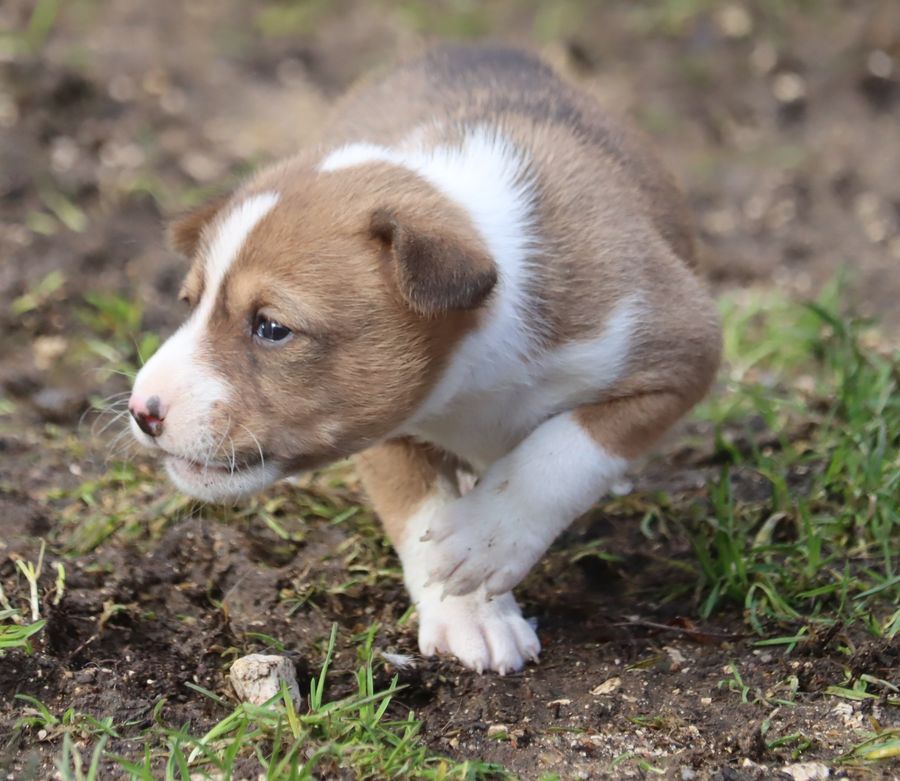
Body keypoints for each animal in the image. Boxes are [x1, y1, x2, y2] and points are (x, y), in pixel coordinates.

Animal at [128, 45, 716, 672]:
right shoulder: (384, 421)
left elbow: (564, 451)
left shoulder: (676, 349)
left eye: (272, 327)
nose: (142, 411)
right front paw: (472, 616)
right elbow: (418, 504)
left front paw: (483, 537)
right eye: (189, 304)